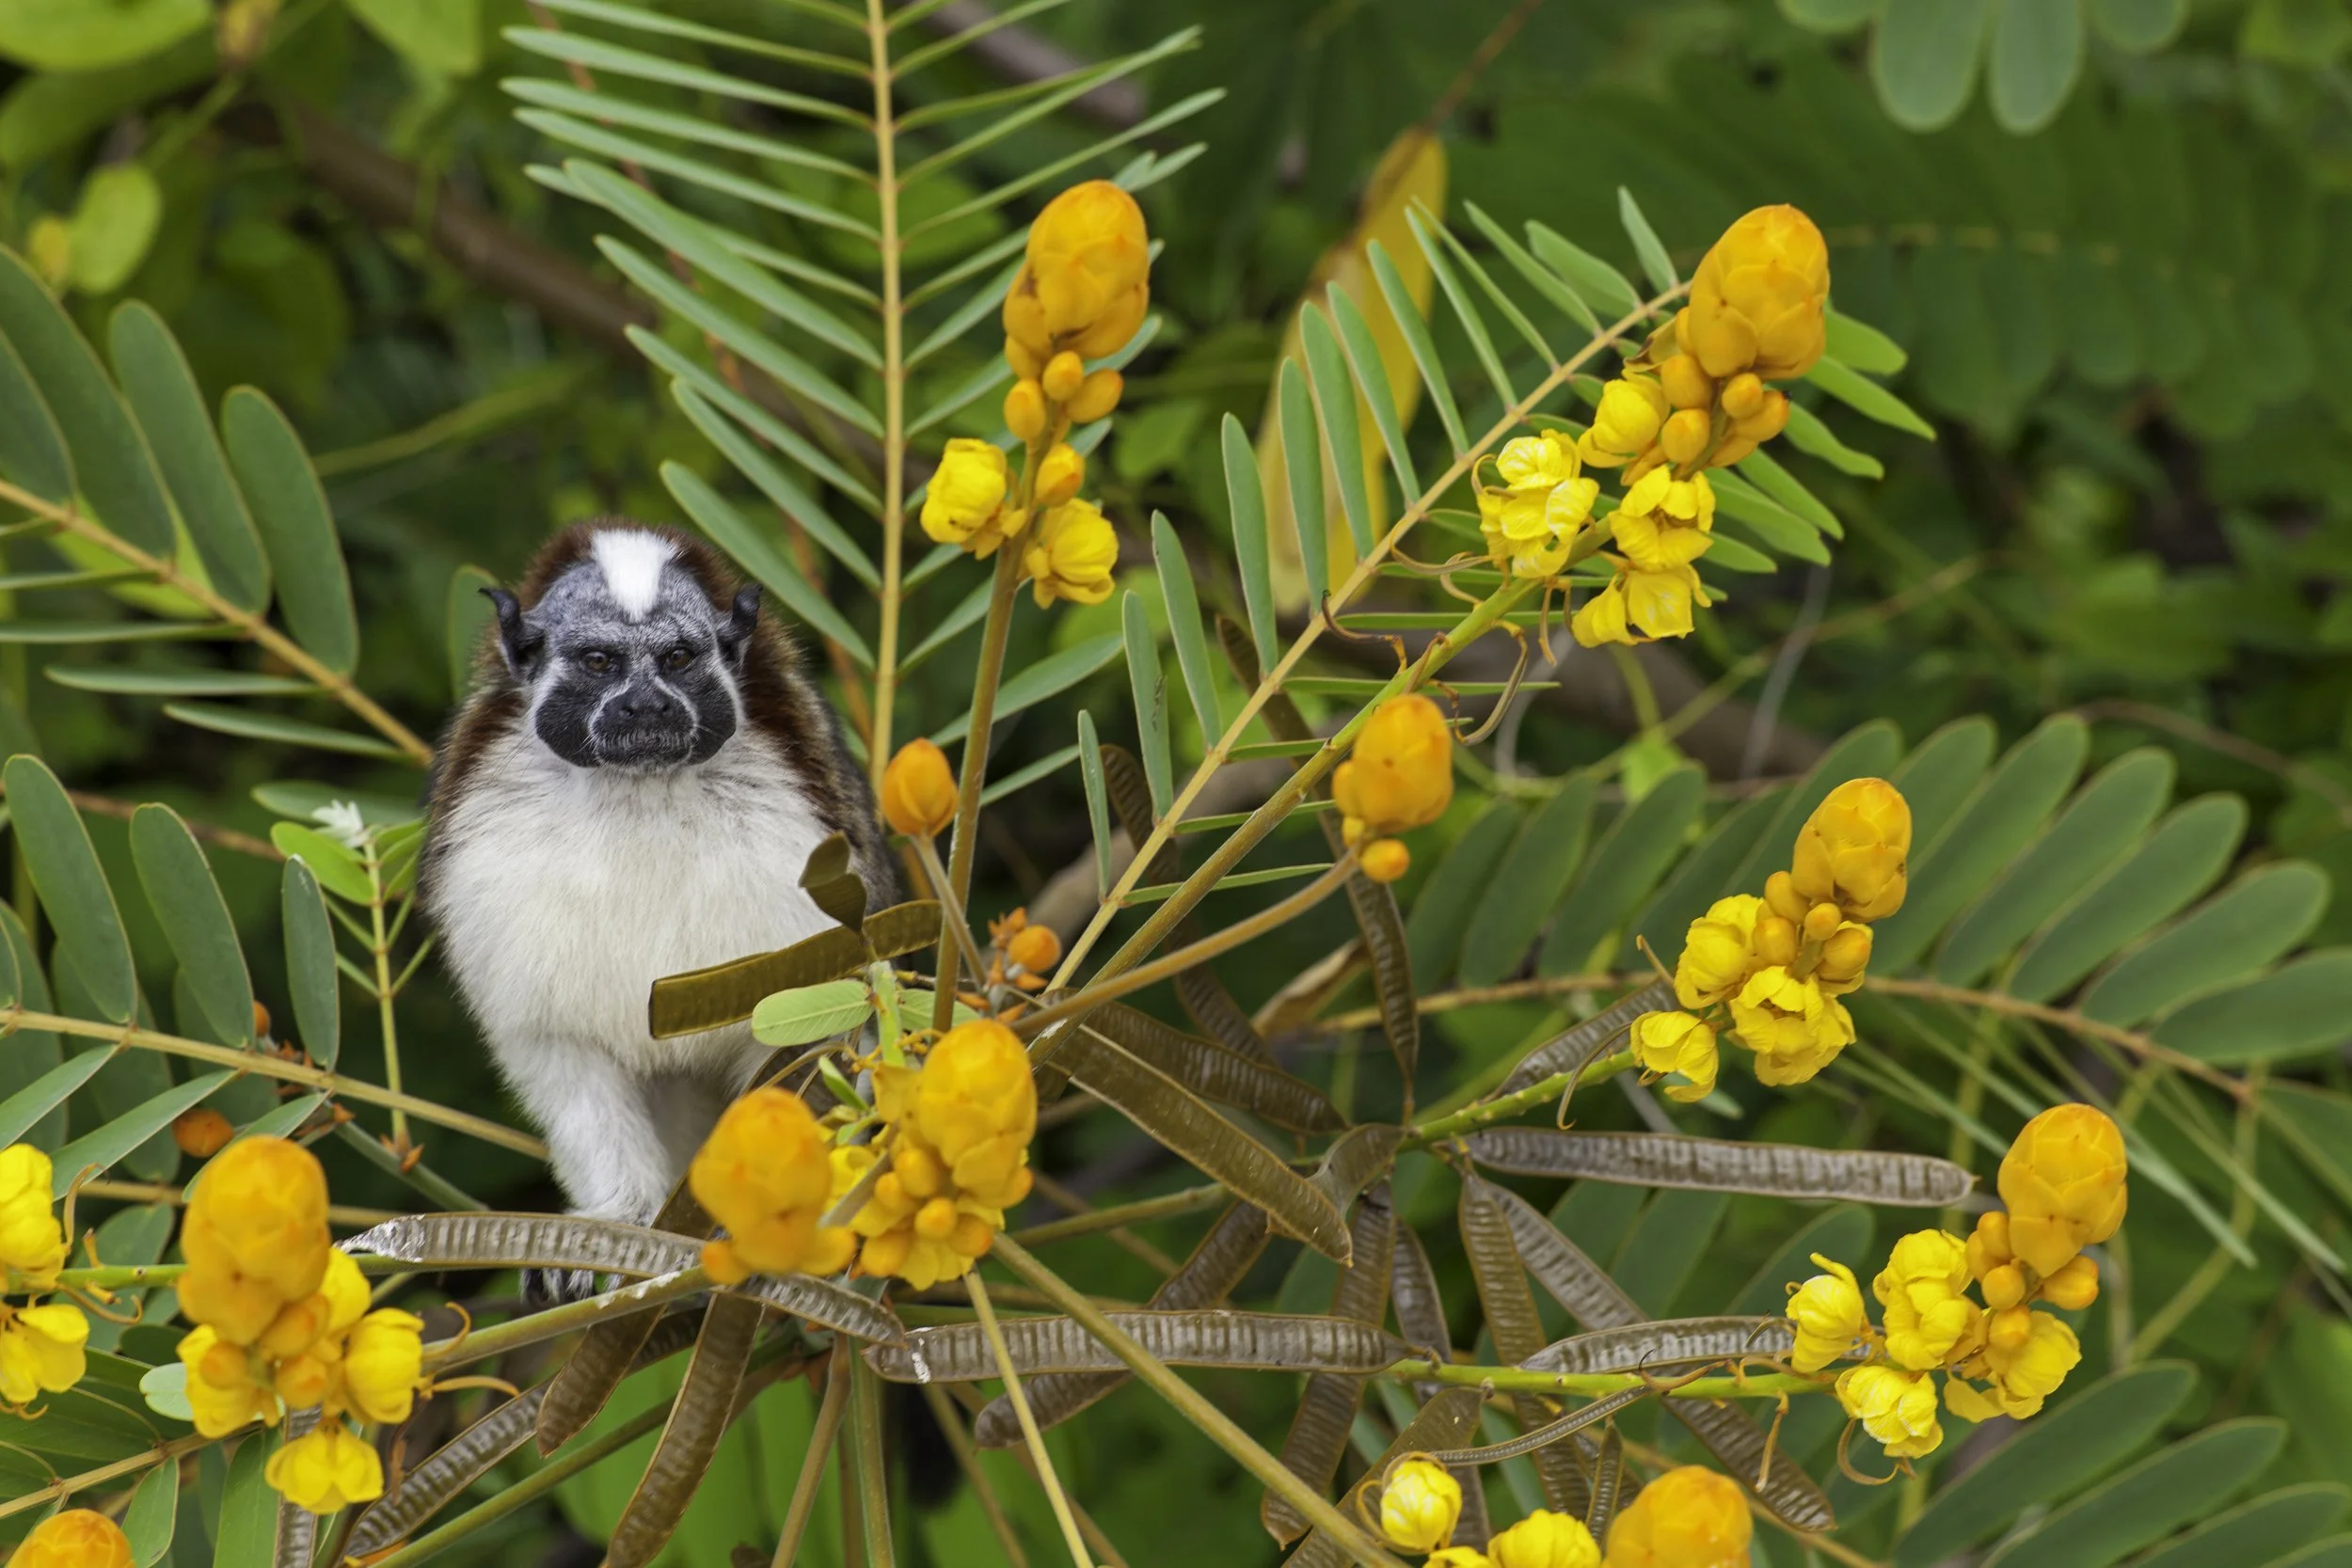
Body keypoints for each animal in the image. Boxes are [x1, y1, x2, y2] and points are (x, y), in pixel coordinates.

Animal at [418, 520, 893, 1303]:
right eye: (599, 661)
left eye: (676, 658)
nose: (646, 707)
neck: (638, 791)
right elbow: (566, 1058)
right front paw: (616, 1229)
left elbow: (800, 1043)